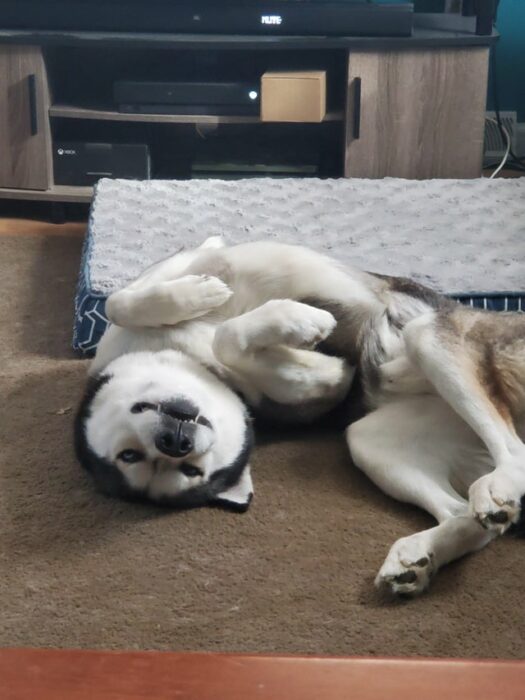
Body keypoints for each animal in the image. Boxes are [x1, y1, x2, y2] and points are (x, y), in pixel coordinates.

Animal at [74, 238, 524, 592]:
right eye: (189, 472)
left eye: (128, 454)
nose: (175, 442)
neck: (187, 354)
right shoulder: (323, 384)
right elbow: (233, 341)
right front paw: (294, 326)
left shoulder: (190, 260)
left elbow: (119, 301)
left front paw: (216, 300)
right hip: (371, 440)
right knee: (469, 513)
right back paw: (421, 555)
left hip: (430, 337)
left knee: (509, 450)